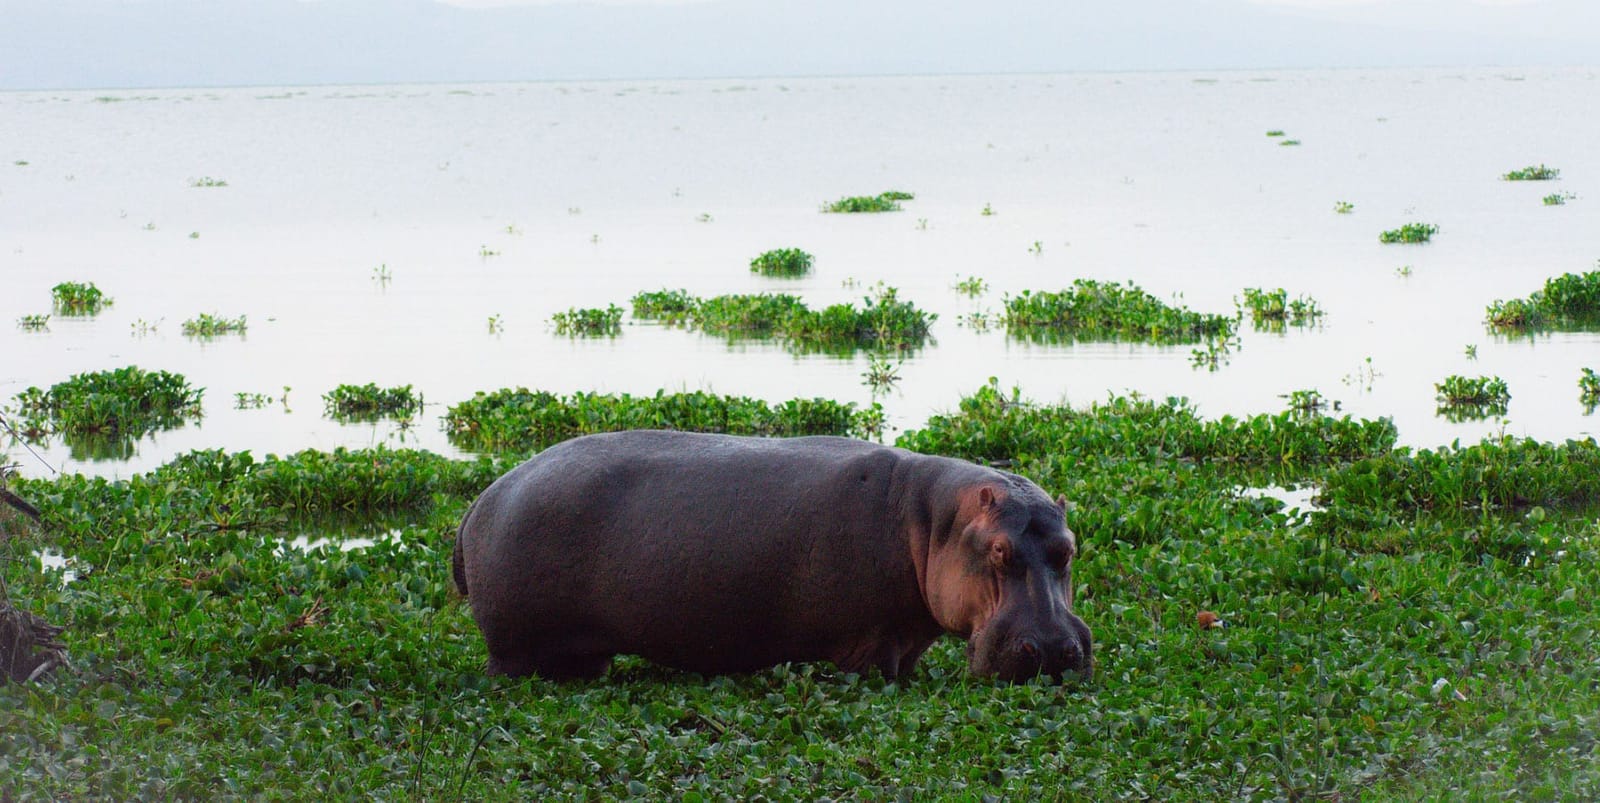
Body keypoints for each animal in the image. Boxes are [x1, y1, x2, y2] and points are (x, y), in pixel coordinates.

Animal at [452, 430, 1091, 682]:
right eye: (999, 550)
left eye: (1070, 547)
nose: (1055, 650)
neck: (935, 522)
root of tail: (481, 499)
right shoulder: (873, 642)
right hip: (514, 652)